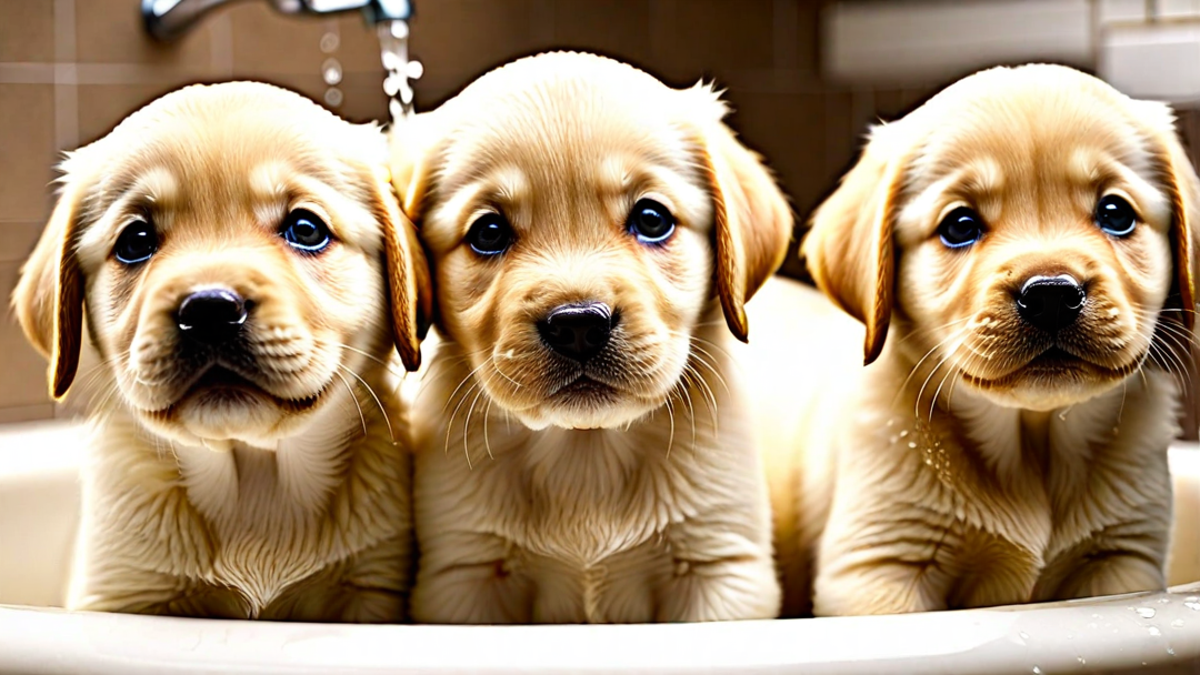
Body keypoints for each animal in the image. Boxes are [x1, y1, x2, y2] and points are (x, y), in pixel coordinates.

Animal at [11, 81, 432, 619]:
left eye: (306, 229)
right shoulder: (122, 592)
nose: (209, 310)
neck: (254, 484)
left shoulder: (368, 590)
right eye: (135, 241)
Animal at [388, 51, 792, 619]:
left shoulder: (721, 568)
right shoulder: (466, 576)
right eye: (488, 232)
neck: (585, 452)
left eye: (652, 219)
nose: (578, 324)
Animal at [772, 64, 1195, 614]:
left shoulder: (1120, 560)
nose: (1051, 295)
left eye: (1116, 213)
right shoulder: (880, 567)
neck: (1034, 448)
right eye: (960, 225)